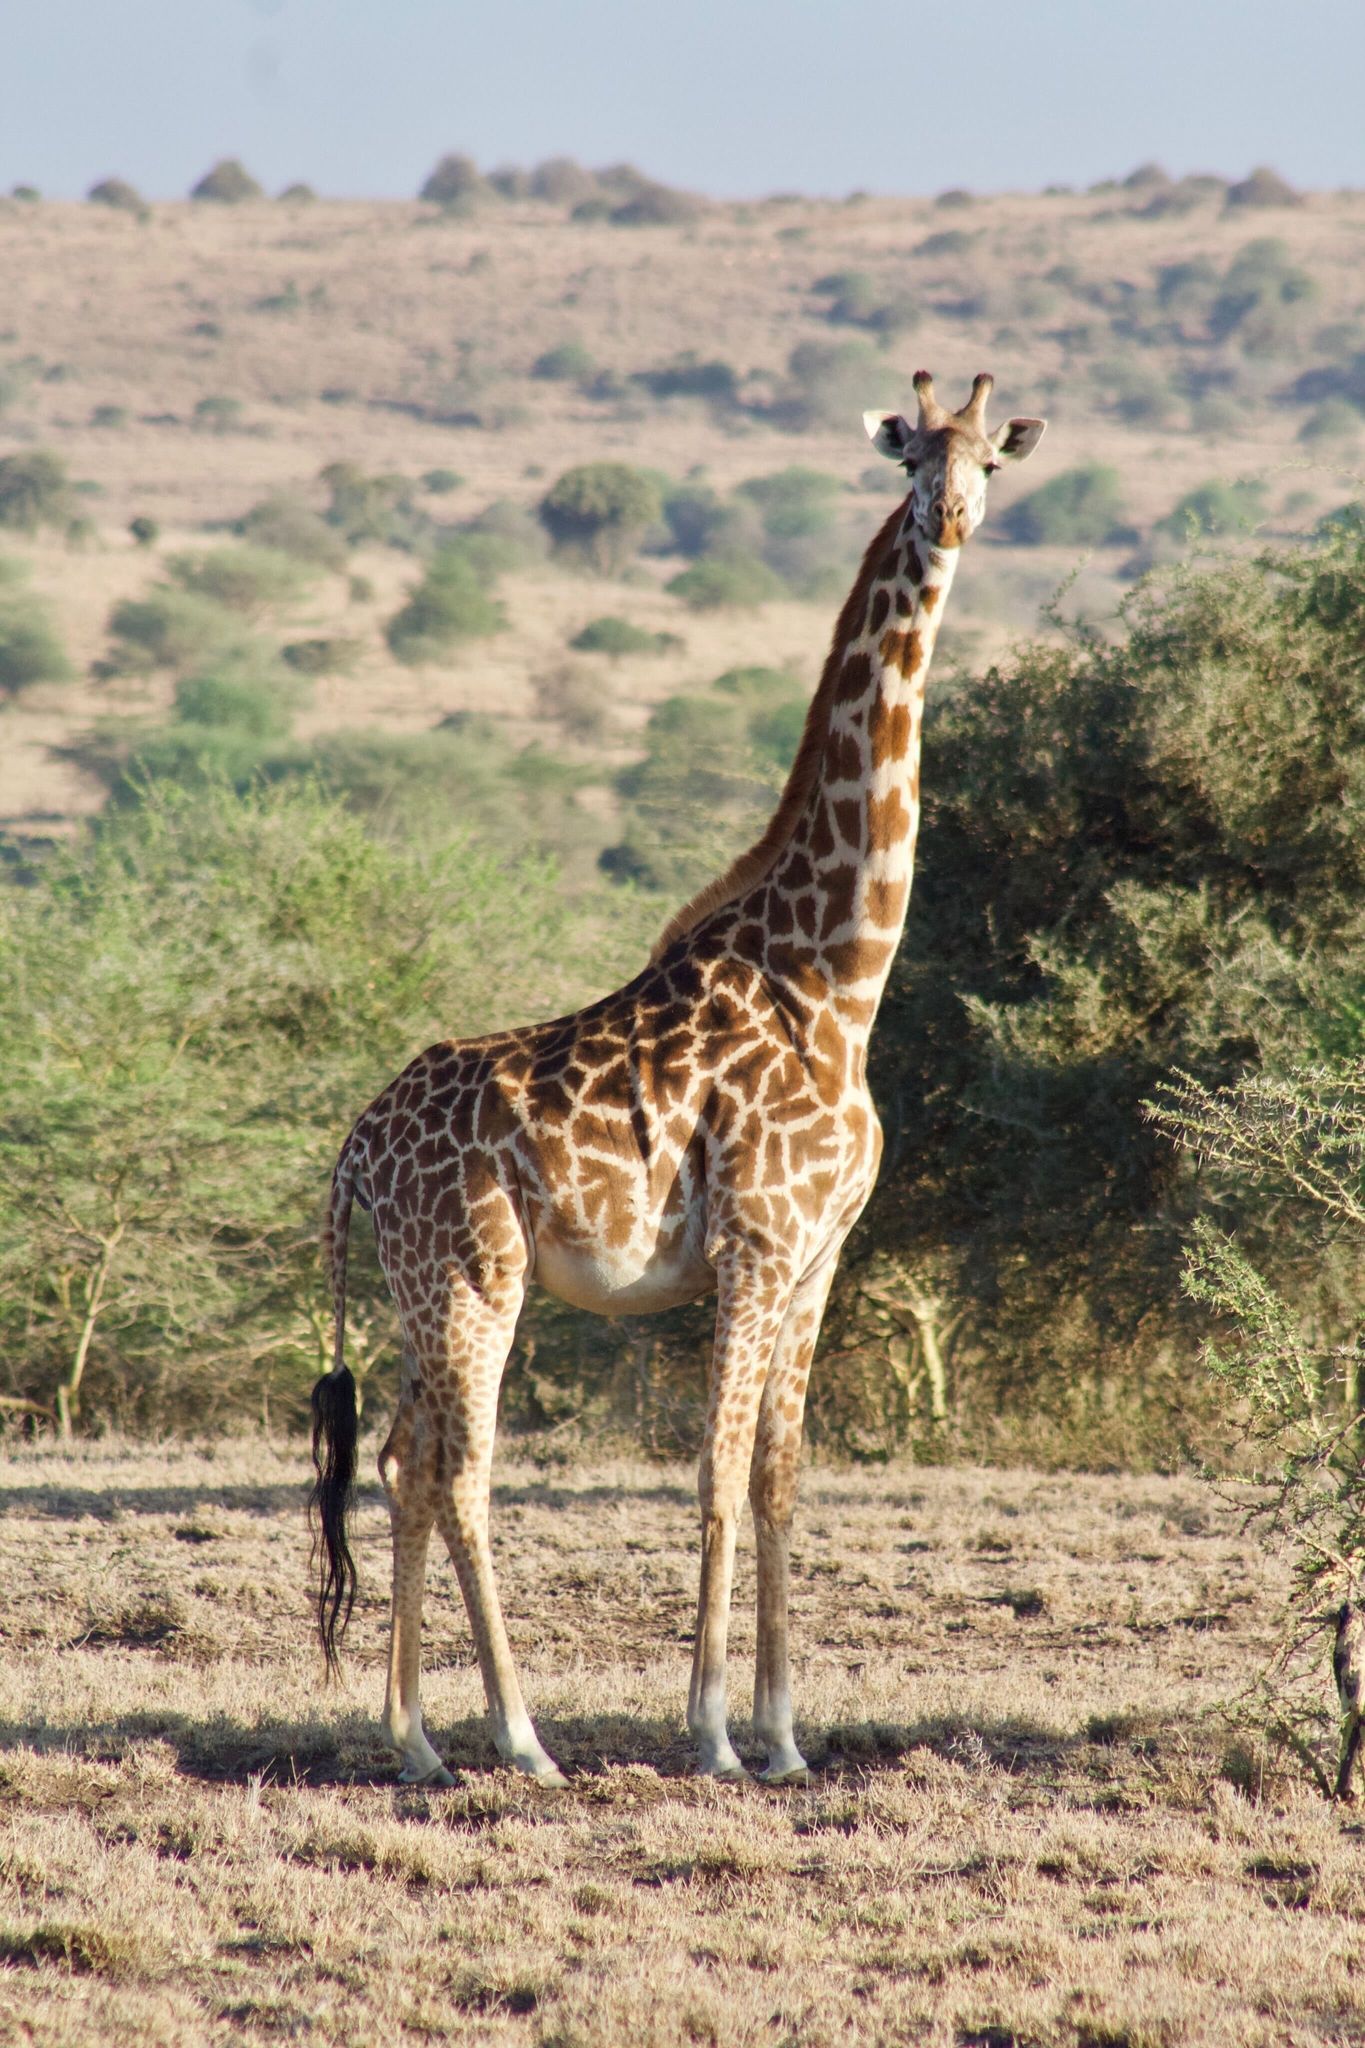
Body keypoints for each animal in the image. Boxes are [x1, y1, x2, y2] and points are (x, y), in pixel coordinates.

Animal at [315, 376, 1055, 1785]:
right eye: (914, 454)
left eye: (992, 457)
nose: (950, 518)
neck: (837, 979)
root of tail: (355, 1154)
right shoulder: (755, 1245)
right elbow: (711, 1474)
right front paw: (711, 1732)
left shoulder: (820, 1256)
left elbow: (777, 1479)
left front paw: (786, 1736)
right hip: (473, 1275)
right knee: (463, 1470)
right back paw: (520, 1737)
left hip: (418, 1289)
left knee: (399, 1457)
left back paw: (414, 1739)